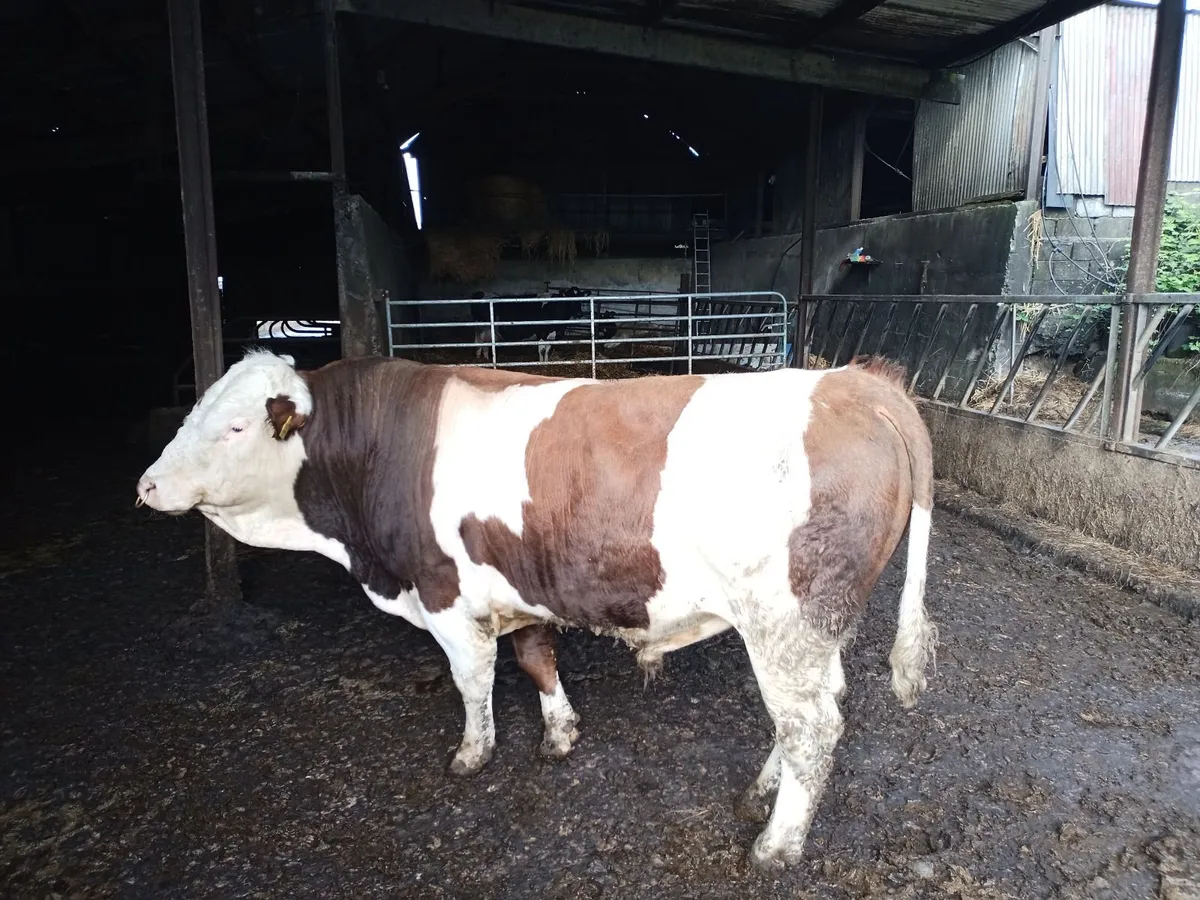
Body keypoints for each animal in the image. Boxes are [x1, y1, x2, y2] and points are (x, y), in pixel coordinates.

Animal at [135, 349, 937, 871]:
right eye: (193, 410)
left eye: (236, 428)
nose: (145, 485)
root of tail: (857, 382)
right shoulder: (521, 586)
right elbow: (534, 658)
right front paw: (558, 733)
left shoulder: (444, 592)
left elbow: (472, 680)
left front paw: (472, 753)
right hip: (815, 628)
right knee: (820, 708)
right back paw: (762, 794)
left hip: (784, 624)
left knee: (811, 726)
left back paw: (776, 845)